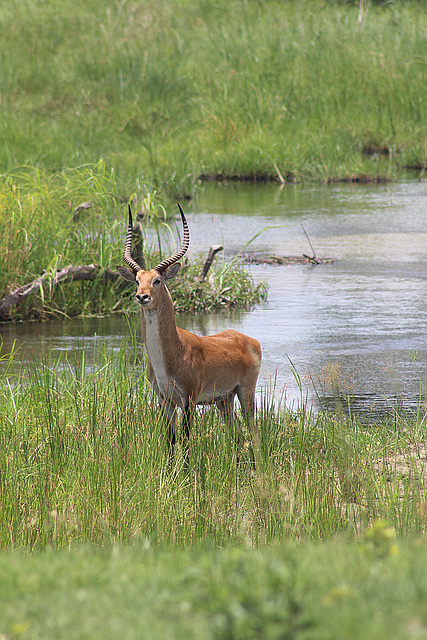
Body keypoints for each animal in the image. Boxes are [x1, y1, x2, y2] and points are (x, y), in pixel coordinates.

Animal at [118, 204, 262, 450]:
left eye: (157, 280)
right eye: (137, 280)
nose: (142, 296)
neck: (174, 351)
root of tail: (248, 340)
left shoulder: (189, 399)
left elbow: (185, 444)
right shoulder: (165, 400)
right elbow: (170, 442)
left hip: (245, 393)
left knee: (253, 434)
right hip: (224, 401)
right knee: (239, 436)